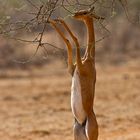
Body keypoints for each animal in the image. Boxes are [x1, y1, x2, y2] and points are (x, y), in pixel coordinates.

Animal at [48, 7, 103, 140]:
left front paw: (58, 20)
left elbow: (76, 40)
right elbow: (68, 42)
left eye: (85, 12)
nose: (74, 14)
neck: (89, 59)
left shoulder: (80, 67)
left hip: (91, 136)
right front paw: (53, 20)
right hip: (77, 135)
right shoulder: (71, 69)